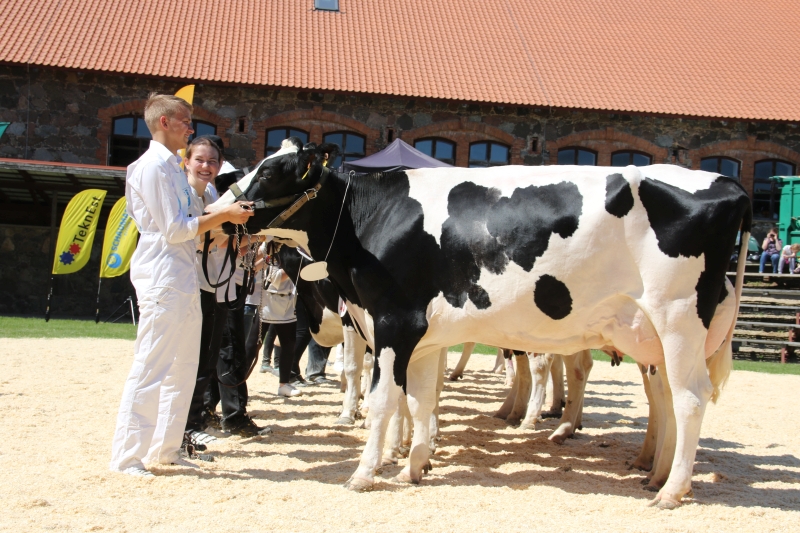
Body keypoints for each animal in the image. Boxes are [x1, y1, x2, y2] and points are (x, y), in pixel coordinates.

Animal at [208, 143, 751, 508]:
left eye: (271, 172)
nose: (217, 210)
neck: (371, 218)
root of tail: (728, 185)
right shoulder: (421, 337)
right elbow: (420, 400)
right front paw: (413, 467)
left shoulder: (392, 322)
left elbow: (383, 400)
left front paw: (365, 472)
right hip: (653, 334)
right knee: (667, 398)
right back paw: (654, 474)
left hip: (679, 319)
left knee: (690, 399)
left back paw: (672, 490)